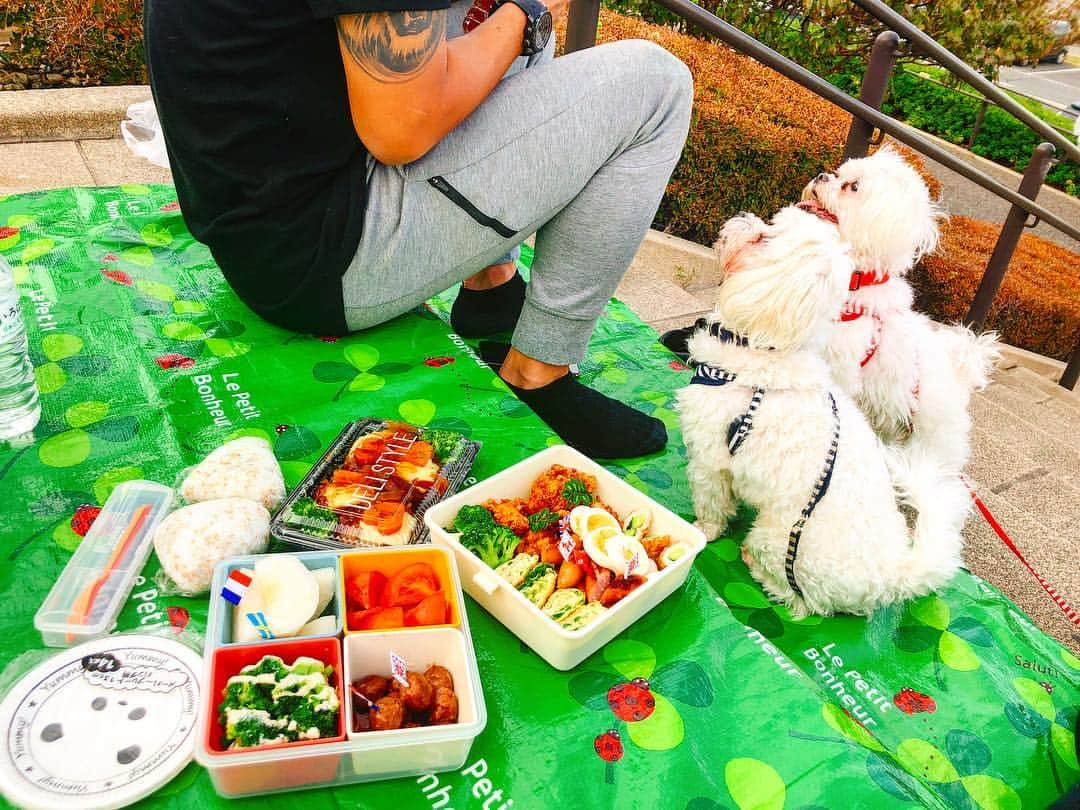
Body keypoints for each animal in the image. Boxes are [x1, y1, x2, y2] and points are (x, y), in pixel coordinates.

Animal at [678, 206, 967, 617]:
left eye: (763, 238)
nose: (741, 218)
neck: (768, 349)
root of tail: (894, 575)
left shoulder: (711, 457)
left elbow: (713, 503)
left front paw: (704, 531)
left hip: (778, 541)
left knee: (803, 603)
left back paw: (758, 568)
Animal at [803, 146, 1002, 475]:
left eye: (852, 187)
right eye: (840, 174)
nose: (822, 175)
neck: (856, 281)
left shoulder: (841, 365)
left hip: (934, 445)